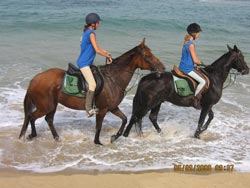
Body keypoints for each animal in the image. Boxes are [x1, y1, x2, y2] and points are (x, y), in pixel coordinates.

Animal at [18, 37, 165, 144]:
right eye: (147, 55)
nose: (162, 68)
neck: (114, 78)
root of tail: (35, 79)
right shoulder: (103, 109)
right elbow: (99, 126)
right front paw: (98, 142)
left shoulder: (112, 107)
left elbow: (124, 119)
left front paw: (114, 137)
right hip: (46, 106)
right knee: (32, 117)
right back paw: (32, 135)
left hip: (52, 105)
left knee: (48, 120)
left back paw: (56, 138)